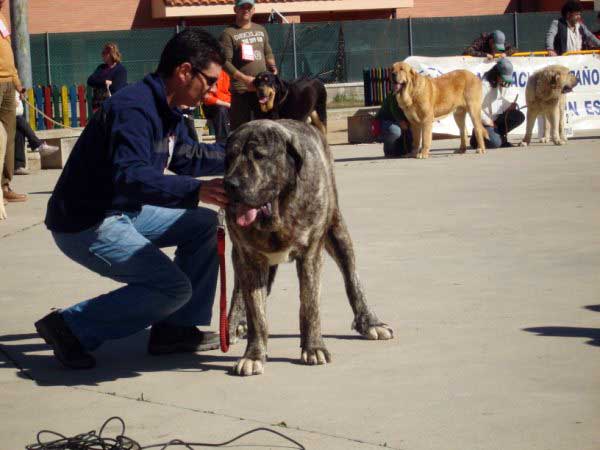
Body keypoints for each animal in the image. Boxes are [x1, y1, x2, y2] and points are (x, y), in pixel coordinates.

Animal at [225, 119, 394, 376]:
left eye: (259, 156)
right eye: (229, 156)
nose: (229, 184)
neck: (278, 214)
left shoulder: (311, 255)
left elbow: (310, 305)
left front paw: (314, 347)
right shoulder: (250, 259)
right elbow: (257, 314)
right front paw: (254, 355)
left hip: (338, 233)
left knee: (352, 280)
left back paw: (370, 322)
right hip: (239, 256)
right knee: (238, 289)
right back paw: (236, 322)